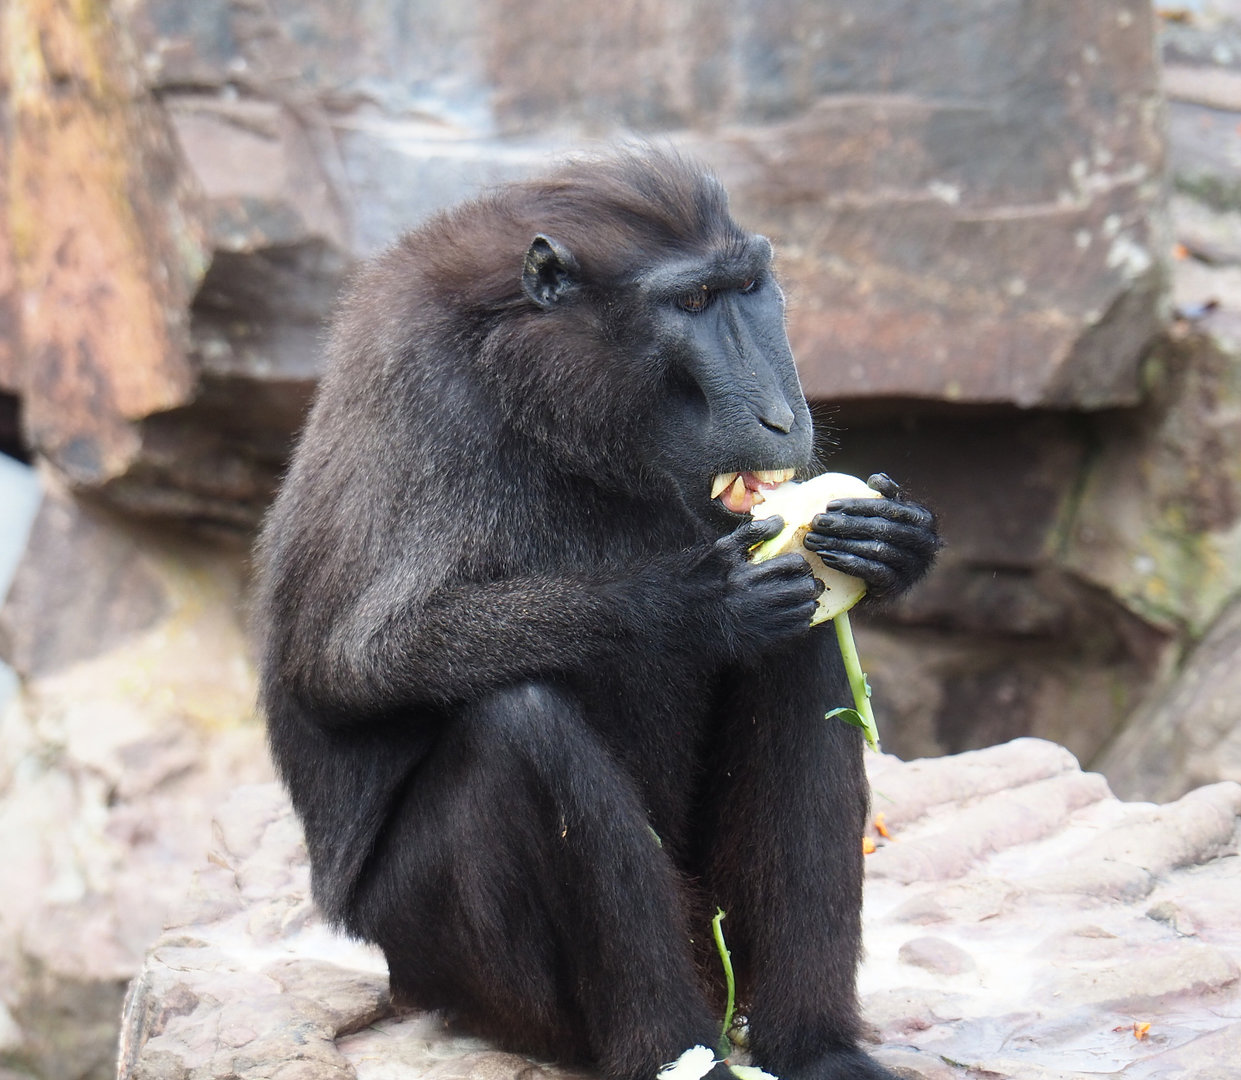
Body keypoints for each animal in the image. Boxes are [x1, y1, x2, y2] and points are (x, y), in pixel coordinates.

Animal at [255, 148, 938, 1080]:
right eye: (690, 304)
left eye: (746, 288)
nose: (779, 418)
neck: (533, 382)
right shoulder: (426, 396)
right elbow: (351, 661)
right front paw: (683, 604)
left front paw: (897, 544)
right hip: (443, 960)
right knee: (522, 727)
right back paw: (674, 1053)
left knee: (802, 650)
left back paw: (814, 1047)